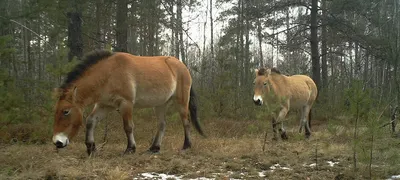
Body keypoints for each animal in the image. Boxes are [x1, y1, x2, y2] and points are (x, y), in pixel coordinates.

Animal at [51, 49, 205, 155]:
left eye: (66, 111)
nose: (57, 142)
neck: (108, 74)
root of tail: (183, 66)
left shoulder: (126, 103)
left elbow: (128, 127)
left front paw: (130, 149)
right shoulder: (104, 105)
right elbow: (90, 121)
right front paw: (91, 148)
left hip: (182, 101)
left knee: (186, 122)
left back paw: (186, 146)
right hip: (160, 105)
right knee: (162, 125)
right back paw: (154, 148)